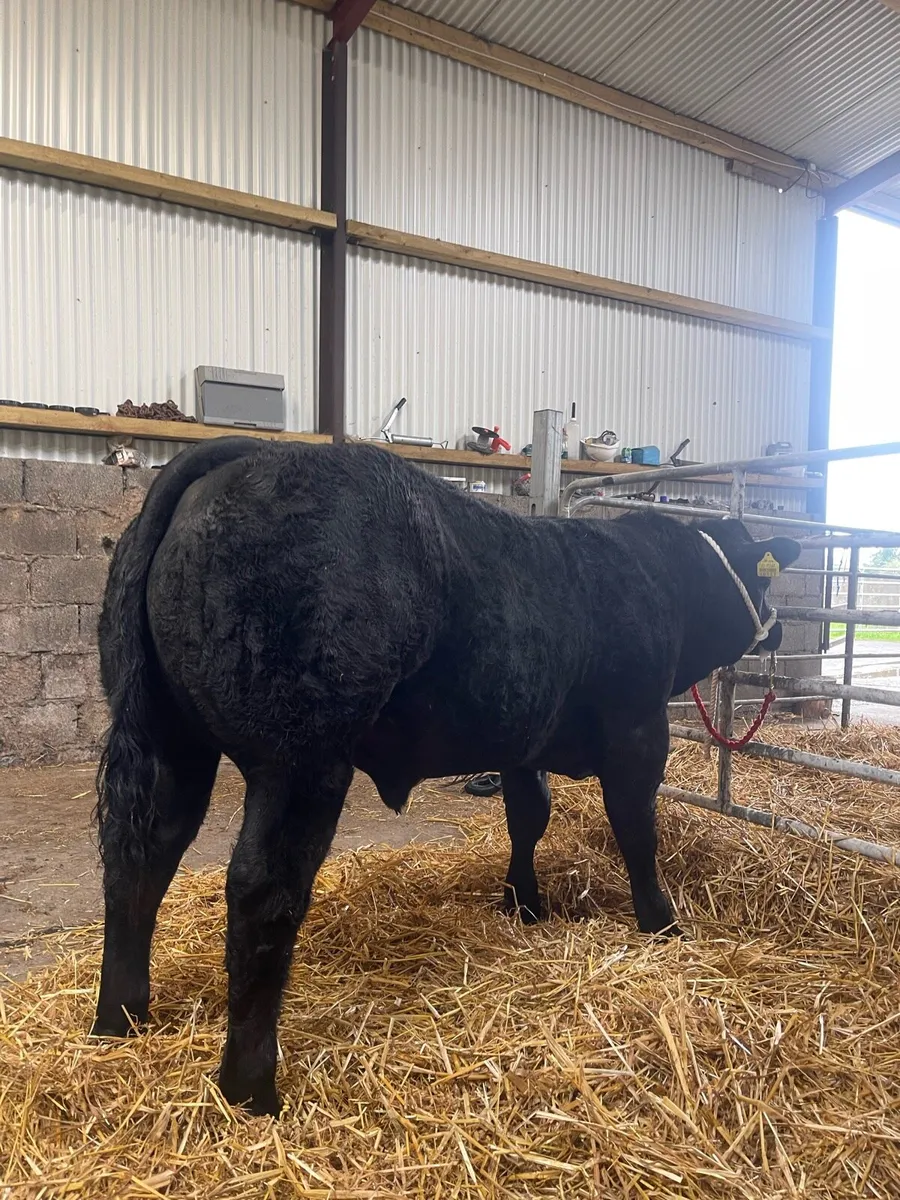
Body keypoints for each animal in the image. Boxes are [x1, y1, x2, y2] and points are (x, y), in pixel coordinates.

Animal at [90, 437, 800, 1115]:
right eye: (760, 576)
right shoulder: (638, 730)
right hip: (301, 753)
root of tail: (245, 455)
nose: (778, 630)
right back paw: (251, 1085)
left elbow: (528, 817)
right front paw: (661, 922)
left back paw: (120, 1019)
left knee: (140, 854)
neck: (661, 580)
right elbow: (636, 831)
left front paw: (524, 903)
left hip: (167, 735)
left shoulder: (522, 740)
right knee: (262, 886)